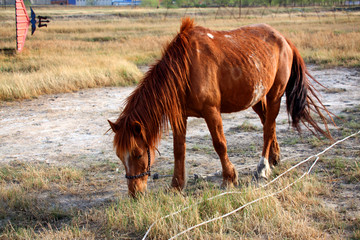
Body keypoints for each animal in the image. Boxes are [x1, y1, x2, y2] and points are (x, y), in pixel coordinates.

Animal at [107, 17, 332, 197]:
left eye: (137, 154)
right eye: (119, 156)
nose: (135, 193)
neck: (185, 68)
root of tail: (284, 40)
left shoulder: (211, 111)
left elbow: (219, 144)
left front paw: (229, 179)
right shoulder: (180, 116)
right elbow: (179, 150)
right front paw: (177, 186)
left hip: (275, 94)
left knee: (268, 128)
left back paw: (262, 168)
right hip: (257, 98)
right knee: (268, 122)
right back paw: (274, 158)